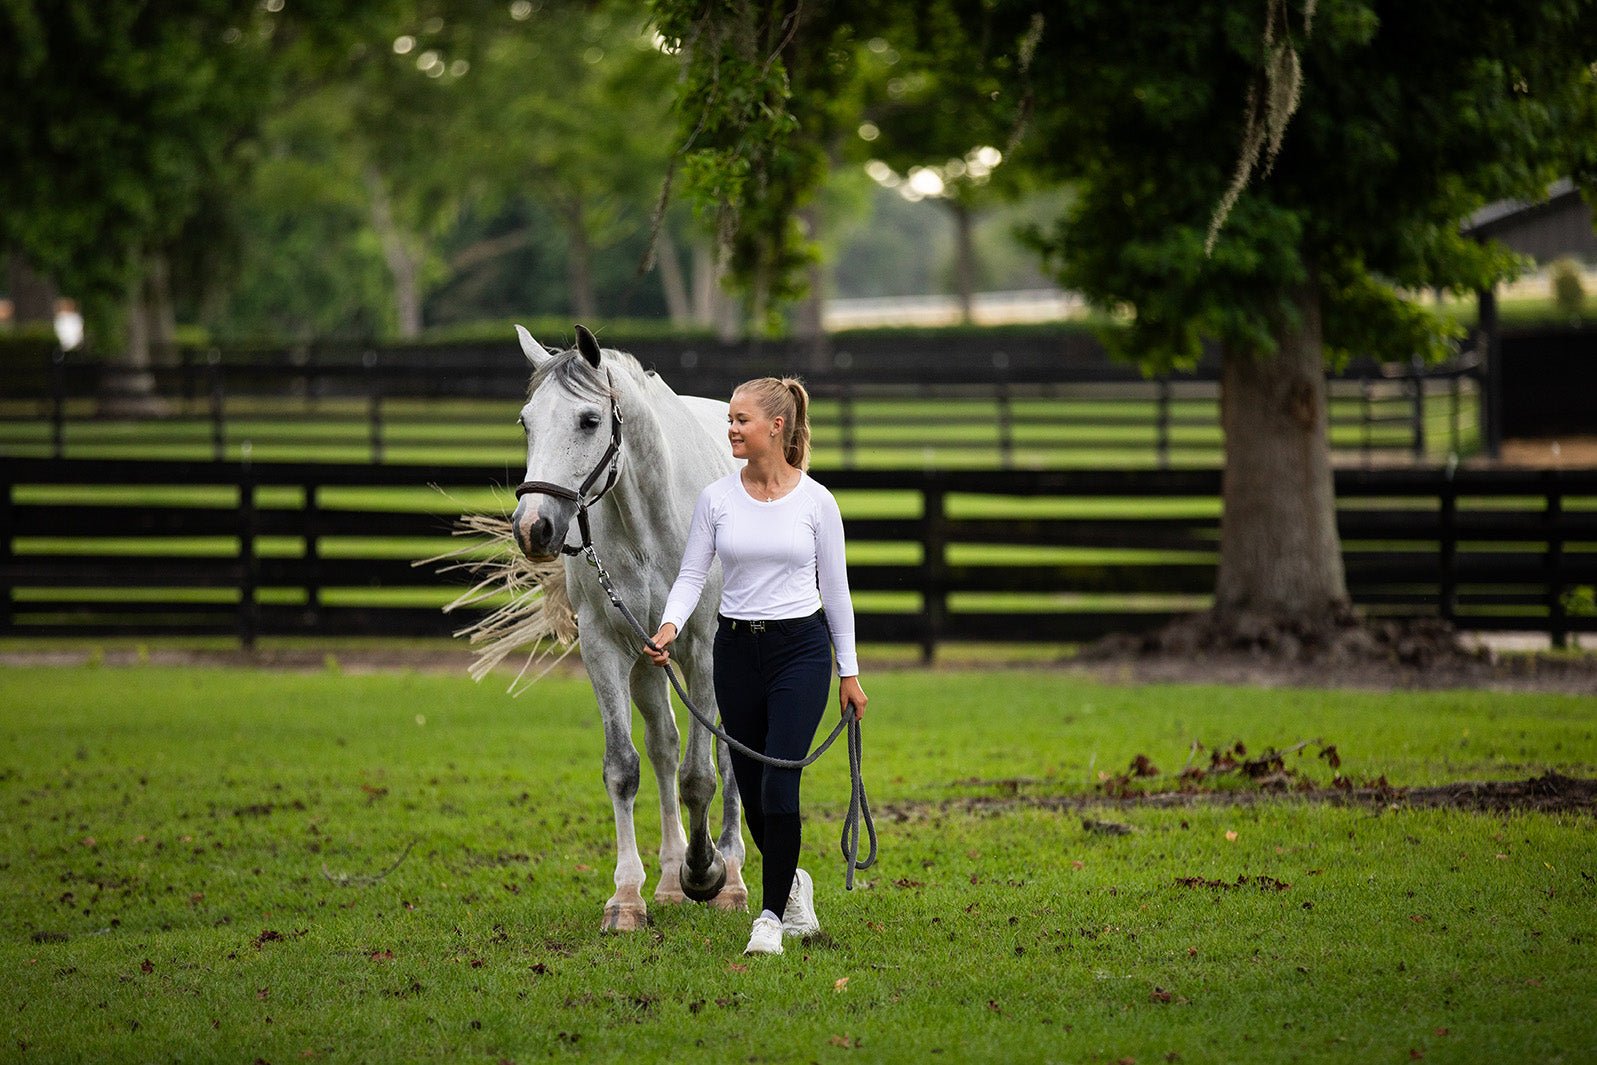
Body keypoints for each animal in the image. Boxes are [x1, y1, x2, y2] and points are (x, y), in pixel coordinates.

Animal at [509, 323, 748, 930]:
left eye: (589, 420)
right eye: (526, 422)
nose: (533, 528)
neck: (649, 522)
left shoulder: (704, 653)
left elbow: (700, 775)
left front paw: (706, 873)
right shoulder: (607, 649)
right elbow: (625, 767)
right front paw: (627, 897)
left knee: (728, 754)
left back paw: (731, 874)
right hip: (646, 667)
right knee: (663, 746)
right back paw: (666, 880)